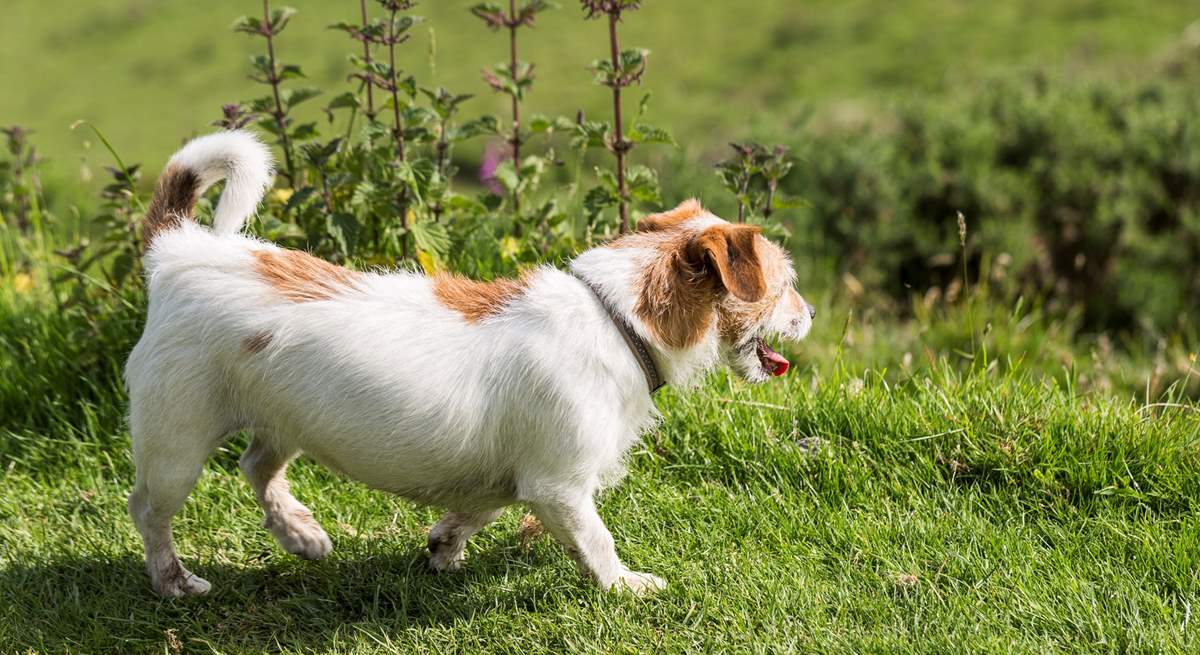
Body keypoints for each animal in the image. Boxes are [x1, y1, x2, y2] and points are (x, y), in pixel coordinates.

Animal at [124, 130, 816, 595]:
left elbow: (481, 507)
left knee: (258, 466)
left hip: (285, 416)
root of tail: (176, 250)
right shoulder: (559, 486)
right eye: (784, 285)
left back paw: (301, 534)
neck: (617, 319)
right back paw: (174, 580)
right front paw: (625, 584)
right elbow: (596, 538)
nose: (809, 313)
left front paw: (443, 545)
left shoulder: (511, 475)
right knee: (149, 510)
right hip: (177, 443)